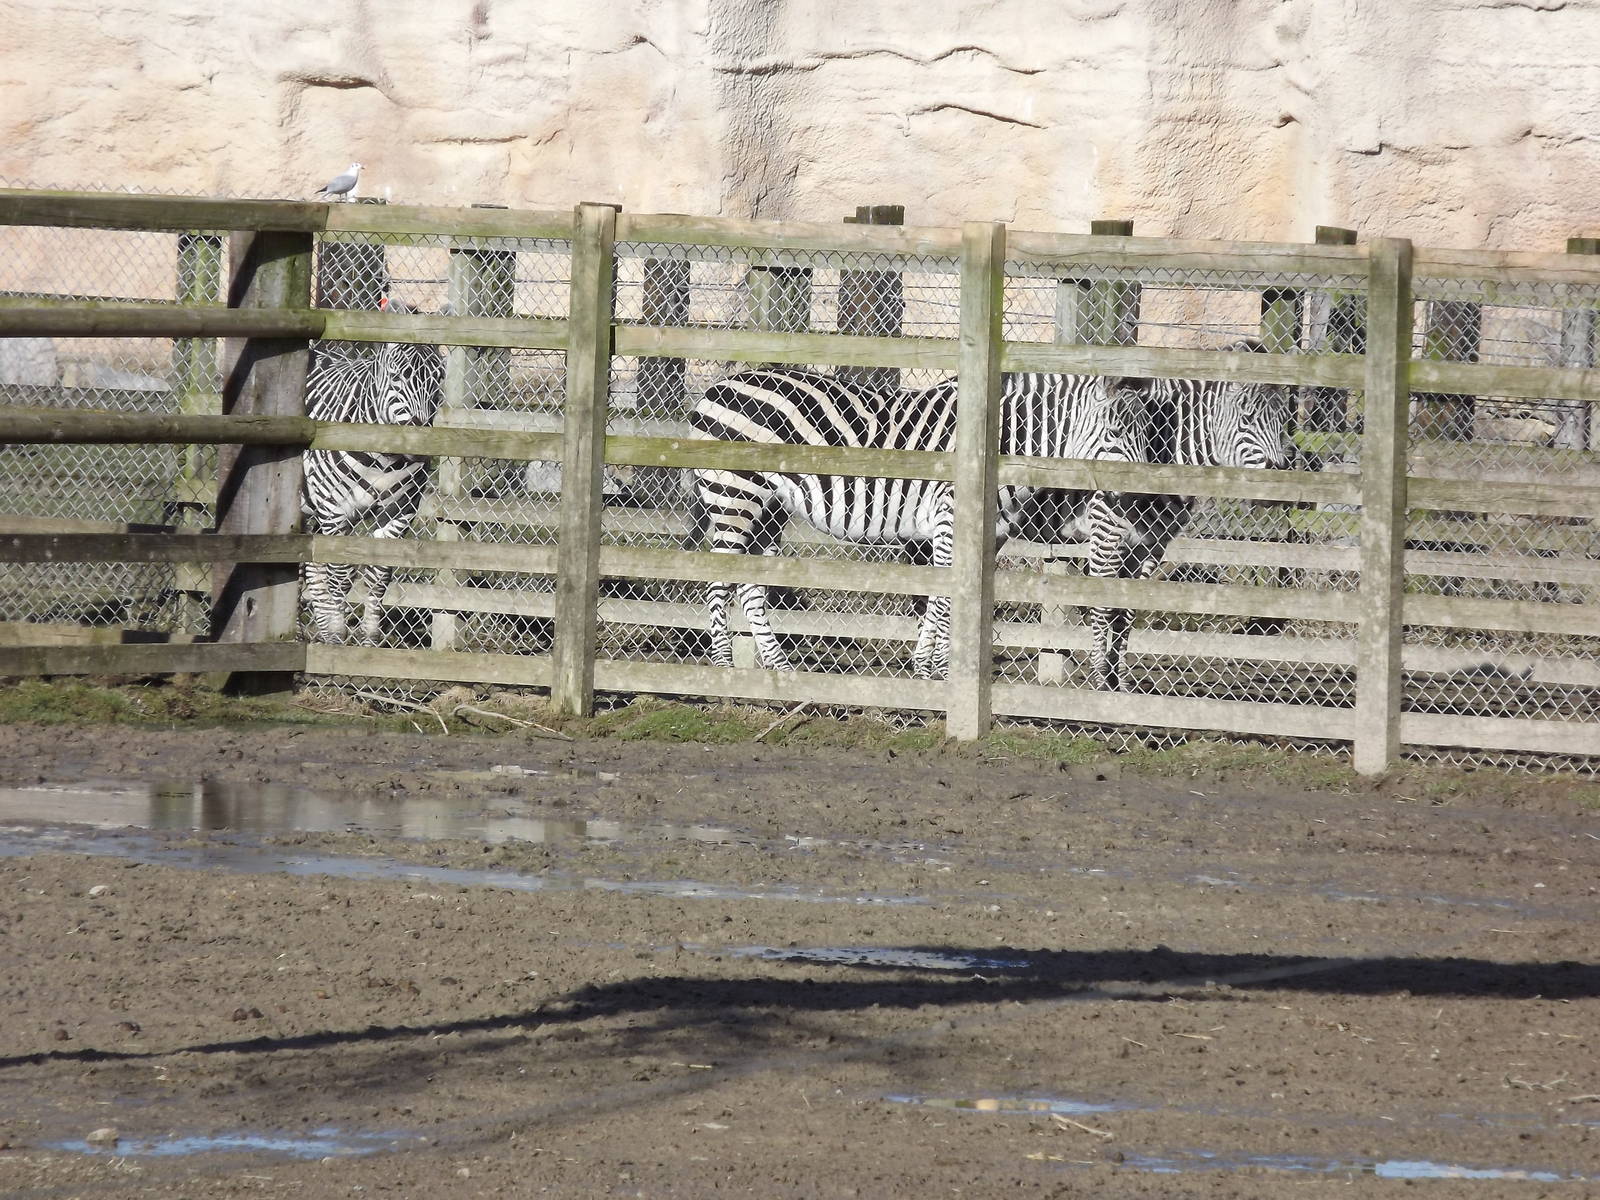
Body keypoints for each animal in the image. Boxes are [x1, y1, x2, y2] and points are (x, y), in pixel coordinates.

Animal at [301, 299, 445, 645]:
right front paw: (340, 634)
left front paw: (368, 638)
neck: (384, 456)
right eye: (396, 377)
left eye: (439, 378)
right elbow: (341, 574)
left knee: (313, 567)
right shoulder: (335, 510)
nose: (421, 446)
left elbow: (378, 575)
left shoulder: (400, 512)